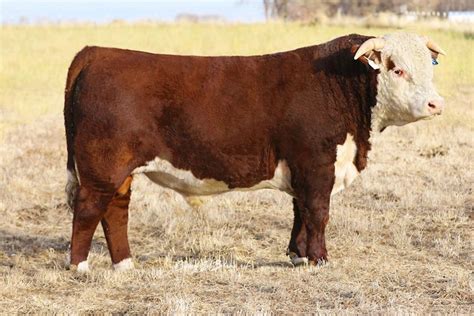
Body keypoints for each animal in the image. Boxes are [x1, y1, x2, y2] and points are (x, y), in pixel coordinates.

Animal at [63, 32, 444, 272]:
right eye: (397, 68)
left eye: (429, 67)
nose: (435, 103)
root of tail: (97, 51)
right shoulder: (317, 165)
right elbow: (318, 213)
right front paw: (319, 259)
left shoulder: (302, 168)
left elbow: (300, 212)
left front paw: (298, 256)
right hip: (102, 168)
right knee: (89, 208)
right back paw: (80, 266)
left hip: (120, 173)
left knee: (115, 211)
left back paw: (124, 264)